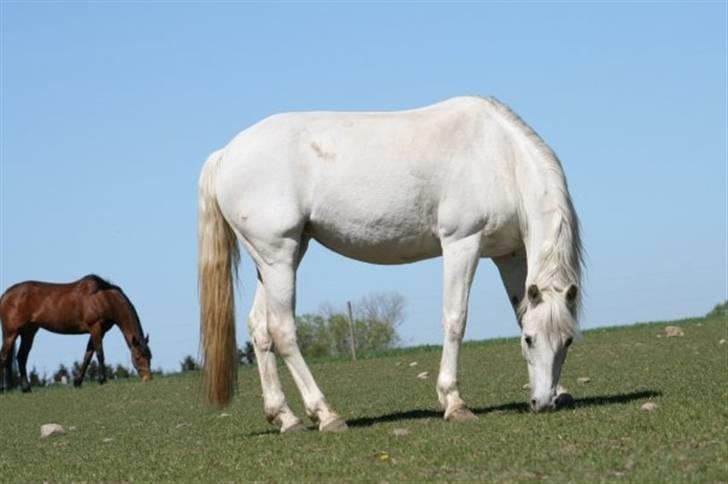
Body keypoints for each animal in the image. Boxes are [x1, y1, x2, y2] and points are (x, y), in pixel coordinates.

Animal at [0, 274, 153, 392]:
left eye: (150, 357)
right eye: (138, 357)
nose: (148, 379)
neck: (104, 298)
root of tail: (6, 295)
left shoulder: (98, 331)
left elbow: (88, 356)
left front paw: (77, 382)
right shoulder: (95, 327)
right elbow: (100, 354)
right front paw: (102, 380)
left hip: (29, 332)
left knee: (21, 357)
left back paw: (26, 388)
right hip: (11, 334)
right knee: (4, 356)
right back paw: (5, 388)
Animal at [198, 96, 583, 432]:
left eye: (567, 341)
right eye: (530, 341)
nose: (543, 403)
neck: (500, 156)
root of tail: (224, 155)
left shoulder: (509, 255)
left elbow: (521, 311)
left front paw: (560, 391)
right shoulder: (462, 243)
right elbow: (455, 320)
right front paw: (454, 403)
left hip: (279, 257)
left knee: (260, 329)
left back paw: (285, 418)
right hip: (279, 256)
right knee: (282, 330)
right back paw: (326, 415)